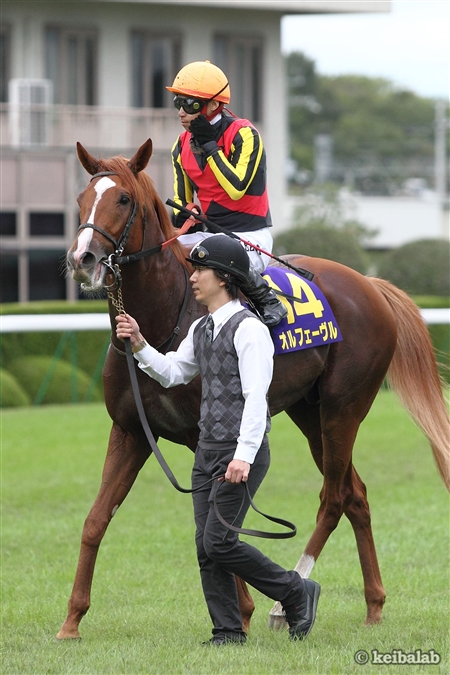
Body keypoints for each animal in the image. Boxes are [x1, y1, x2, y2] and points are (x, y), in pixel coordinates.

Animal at [58, 138, 449, 640]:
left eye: (123, 199)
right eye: (81, 199)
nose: (82, 259)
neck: (168, 315)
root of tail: (370, 284)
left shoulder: (202, 436)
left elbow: (221, 520)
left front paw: (241, 610)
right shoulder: (131, 431)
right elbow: (96, 519)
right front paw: (72, 620)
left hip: (344, 408)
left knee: (333, 496)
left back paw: (286, 603)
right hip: (309, 412)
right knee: (355, 493)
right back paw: (373, 605)